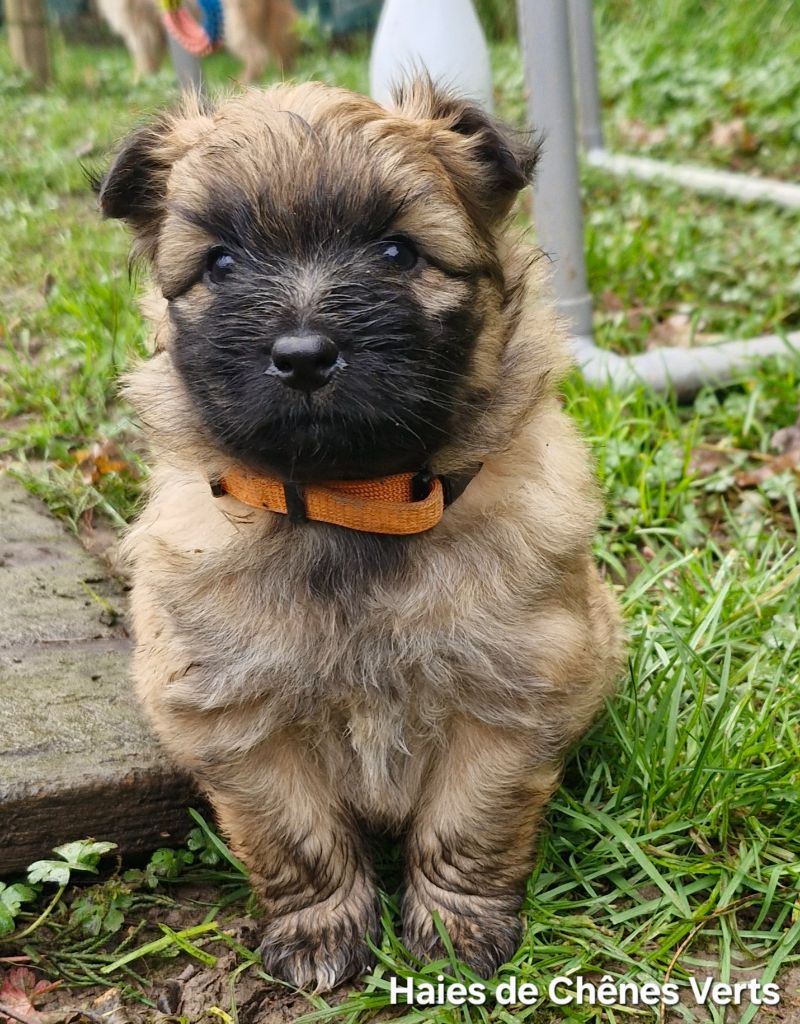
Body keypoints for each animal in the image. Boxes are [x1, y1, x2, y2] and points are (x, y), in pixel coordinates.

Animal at [95, 0, 297, 81]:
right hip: (271, 17)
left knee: (257, 55)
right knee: (283, 48)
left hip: (233, 23)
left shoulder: (142, 29)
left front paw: (137, 82)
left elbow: (144, 61)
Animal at [98, 79, 622, 991]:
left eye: (396, 253)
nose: (304, 355)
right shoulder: (239, 718)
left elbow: (465, 824)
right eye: (221, 264)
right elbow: (296, 838)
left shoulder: (509, 698)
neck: (356, 504)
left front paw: (453, 930)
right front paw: (320, 933)